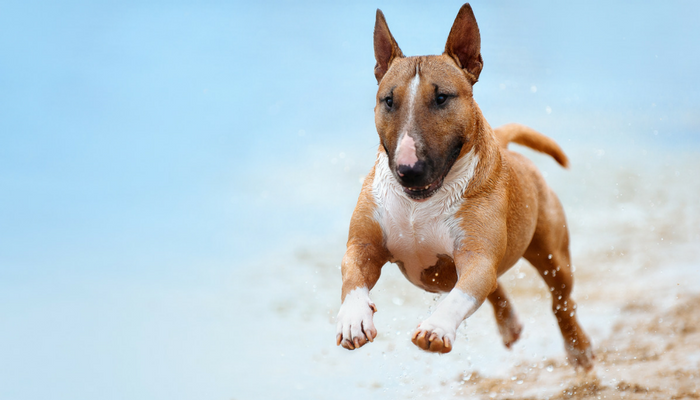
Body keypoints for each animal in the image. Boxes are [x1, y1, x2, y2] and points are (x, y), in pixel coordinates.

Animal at [332, 3, 592, 372]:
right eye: (388, 101)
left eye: (442, 97)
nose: (408, 171)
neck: (419, 204)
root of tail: (506, 145)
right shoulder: (363, 244)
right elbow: (352, 275)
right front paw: (354, 319)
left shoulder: (476, 255)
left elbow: (464, 293)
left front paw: (436, 328)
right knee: (496, 286)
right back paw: (510, 325)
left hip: (552, 253)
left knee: (560, 300)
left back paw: (578, 349)